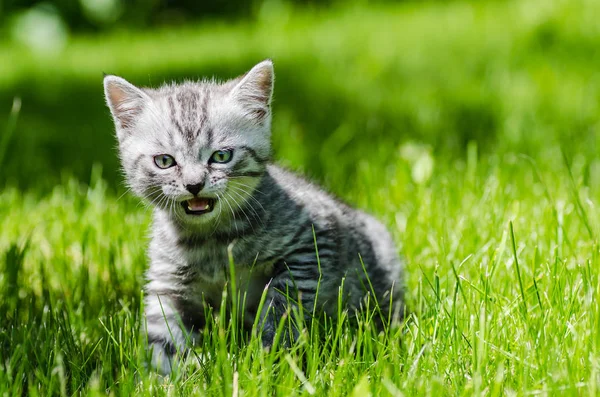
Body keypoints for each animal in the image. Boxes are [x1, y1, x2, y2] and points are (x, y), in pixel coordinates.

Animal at [103, 60, 406, 372]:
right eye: (164, 161)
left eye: (221, 156)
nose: (194, 184)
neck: (211, 240)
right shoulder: (168, 282)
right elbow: (161, 337)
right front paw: (160, 376)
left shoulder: (313, 241)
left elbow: (283, 303)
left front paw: (269, 356)